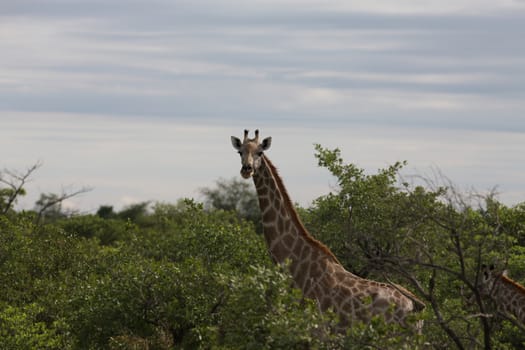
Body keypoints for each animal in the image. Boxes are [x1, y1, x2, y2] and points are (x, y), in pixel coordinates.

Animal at [230, 129, 426, 328]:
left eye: (260, 152)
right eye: (240, 152)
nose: (246, 169)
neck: (296, 263)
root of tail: (415, 307)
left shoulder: (315, 325)